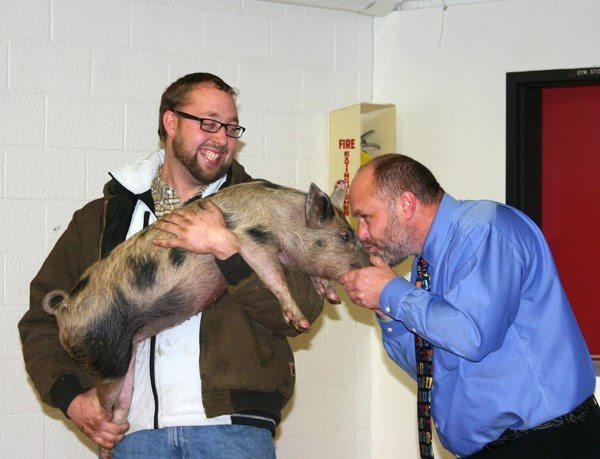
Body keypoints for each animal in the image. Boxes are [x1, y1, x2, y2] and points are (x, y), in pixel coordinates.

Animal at [42, 181, 368, 459]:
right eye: (345, 237)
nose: (371, 263)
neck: (285, 219)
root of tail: (64, 309)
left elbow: (311, 276)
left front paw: (331, 297)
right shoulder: (251, 241)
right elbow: (274, 277)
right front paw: (301, 322)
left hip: (126, 355)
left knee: (122, 403)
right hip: (105, 354)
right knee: (102, 407)